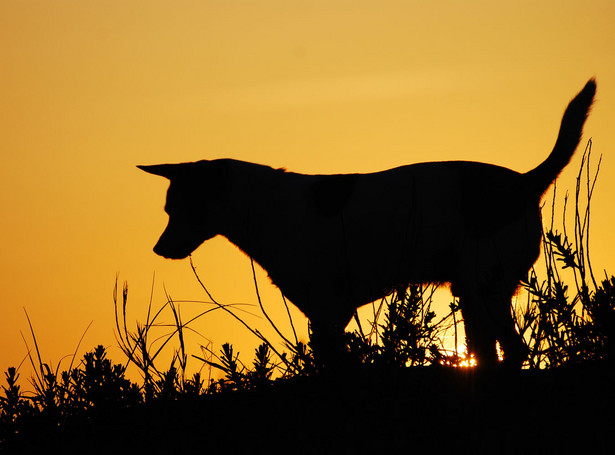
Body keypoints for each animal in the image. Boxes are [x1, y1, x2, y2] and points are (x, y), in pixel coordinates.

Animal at [141, 80, 596, 368]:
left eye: (179, 209)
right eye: (167, 210)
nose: (158, 249)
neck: (261, 206)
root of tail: (523, 181)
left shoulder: (330, 312)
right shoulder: (325, 315)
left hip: (483, 286)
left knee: (510, 351)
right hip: (474, 293)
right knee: (493, 354)